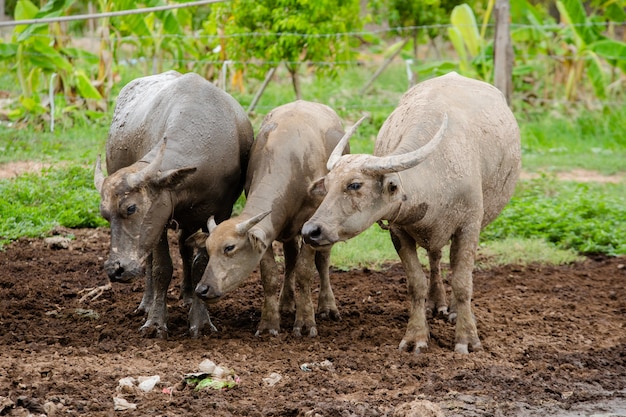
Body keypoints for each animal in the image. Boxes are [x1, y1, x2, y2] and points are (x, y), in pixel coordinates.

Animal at [92, 70, 251, 338]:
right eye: (105, 214)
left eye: (131, 208)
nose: (116, 270)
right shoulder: (160, 220)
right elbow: (161, 268)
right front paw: (156, 323)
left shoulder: (219, 212)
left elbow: (201, 265)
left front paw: (201, 322)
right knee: (151, 260)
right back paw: (147, 303)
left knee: (185, 247)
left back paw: (187, 296)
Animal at [190, 101, 356, 338]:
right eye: (208, 248)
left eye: (229, 247)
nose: (203, 289)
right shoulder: (268, 233)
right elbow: (269, 275)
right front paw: (269, 324)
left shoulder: (310, 225)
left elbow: (305, 273)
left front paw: (305, 323)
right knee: (290, 257)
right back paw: (286, 303)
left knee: (323, 261)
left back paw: (327, 307)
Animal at [300, 73, 520, 352]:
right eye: (327, 186)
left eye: (355, 185)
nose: (310, 231)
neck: (437, 173)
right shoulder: (399, 231)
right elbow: (416, 283)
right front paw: (416, 337)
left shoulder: (469, 227)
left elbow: (462, 282)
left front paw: (468, 339)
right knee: (435, 257)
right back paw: (435, 303)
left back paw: (452, 310)